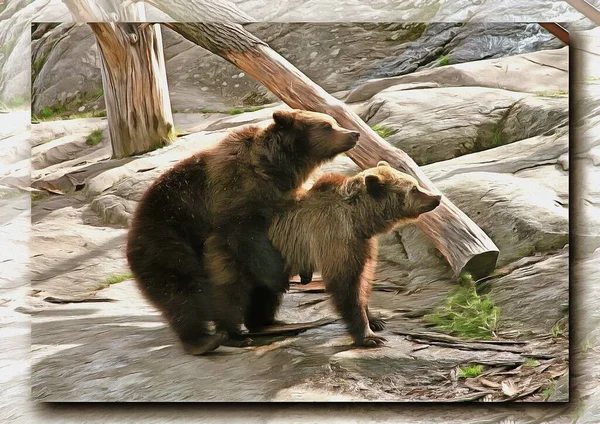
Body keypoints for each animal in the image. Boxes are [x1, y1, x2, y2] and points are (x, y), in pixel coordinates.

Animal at [126, 109, 358, 354]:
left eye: (333, 122)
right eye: (327, 126)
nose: (354, 134)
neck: (275, 168)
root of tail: (132, 232)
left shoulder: (280, 201)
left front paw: (303, 273)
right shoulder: (237, 192)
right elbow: (243, 234)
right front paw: (281, 280)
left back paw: (269, 323)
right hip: (166, 240)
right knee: (183, 290)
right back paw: (207, 339)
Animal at [268, 162, 440, 348]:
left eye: (415, 183)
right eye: (414, 188)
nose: (437, 197)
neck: (358, 219)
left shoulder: (362, 244)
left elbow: (363, 281)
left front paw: (375, 320)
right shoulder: (336, 237)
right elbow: (347, 286)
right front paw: (369, 336)